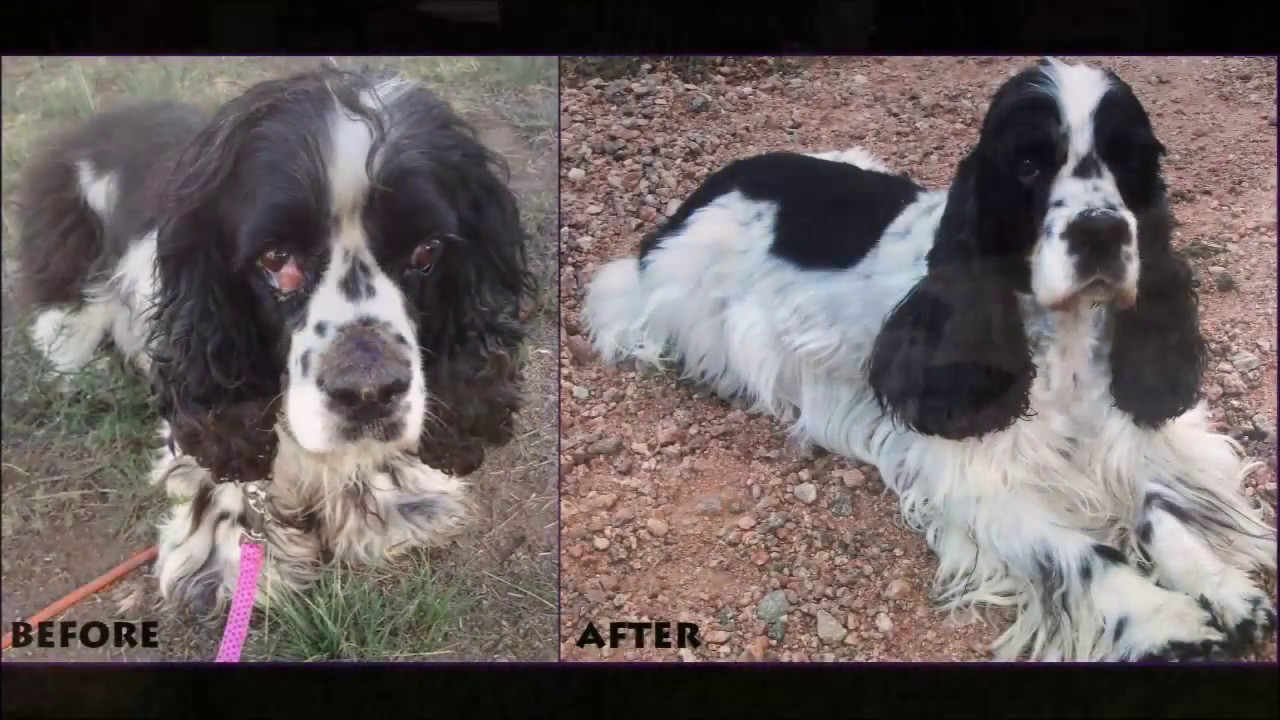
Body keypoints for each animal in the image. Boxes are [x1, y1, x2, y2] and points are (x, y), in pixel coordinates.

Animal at [11, 67, 529, 614]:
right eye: (277, 258)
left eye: (427, 250)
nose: (368, 392)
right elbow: (225, 467)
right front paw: (226, 556)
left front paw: (385, 505)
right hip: (70, 230)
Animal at [586, 58, 1274, 661]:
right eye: (1028, 164)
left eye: (1131, 161)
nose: (1100, 232)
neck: (1065, 339)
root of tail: (693, 200)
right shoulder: (980, 479)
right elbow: (1081, 553)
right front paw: (1166, 620)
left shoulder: (1135, 433)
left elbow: (1161, 503)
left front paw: (1224, 589)